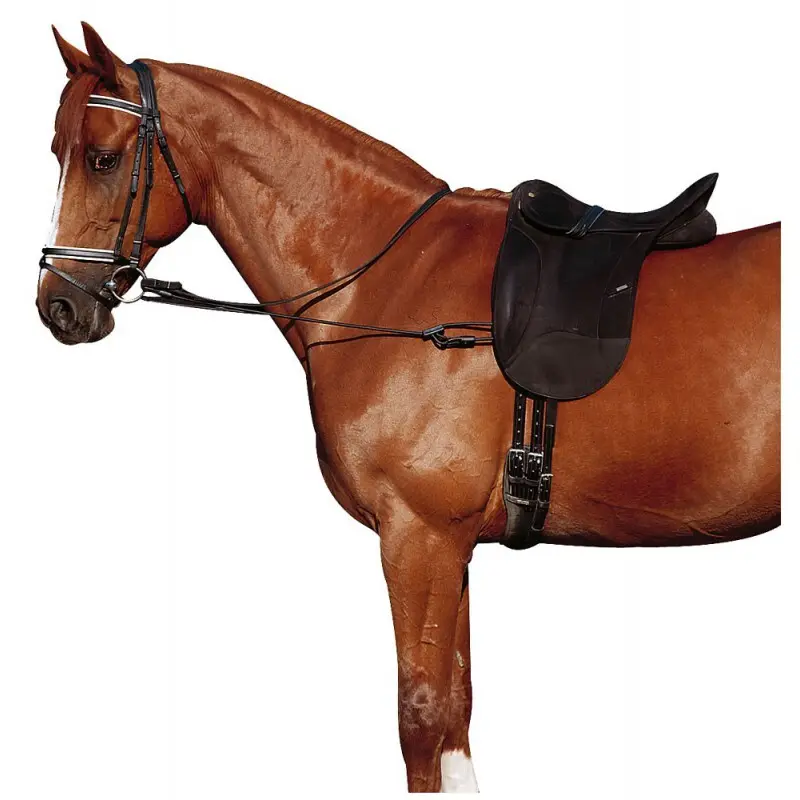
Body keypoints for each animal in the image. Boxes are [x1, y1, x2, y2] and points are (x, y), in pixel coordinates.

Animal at [37, 23, 780, 793]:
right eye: (57, 151)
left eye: (102, 157)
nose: (58, 305)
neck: (384, 282)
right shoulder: (451, 548)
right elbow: (457, 711)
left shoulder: (418, 536)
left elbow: (421, 719)